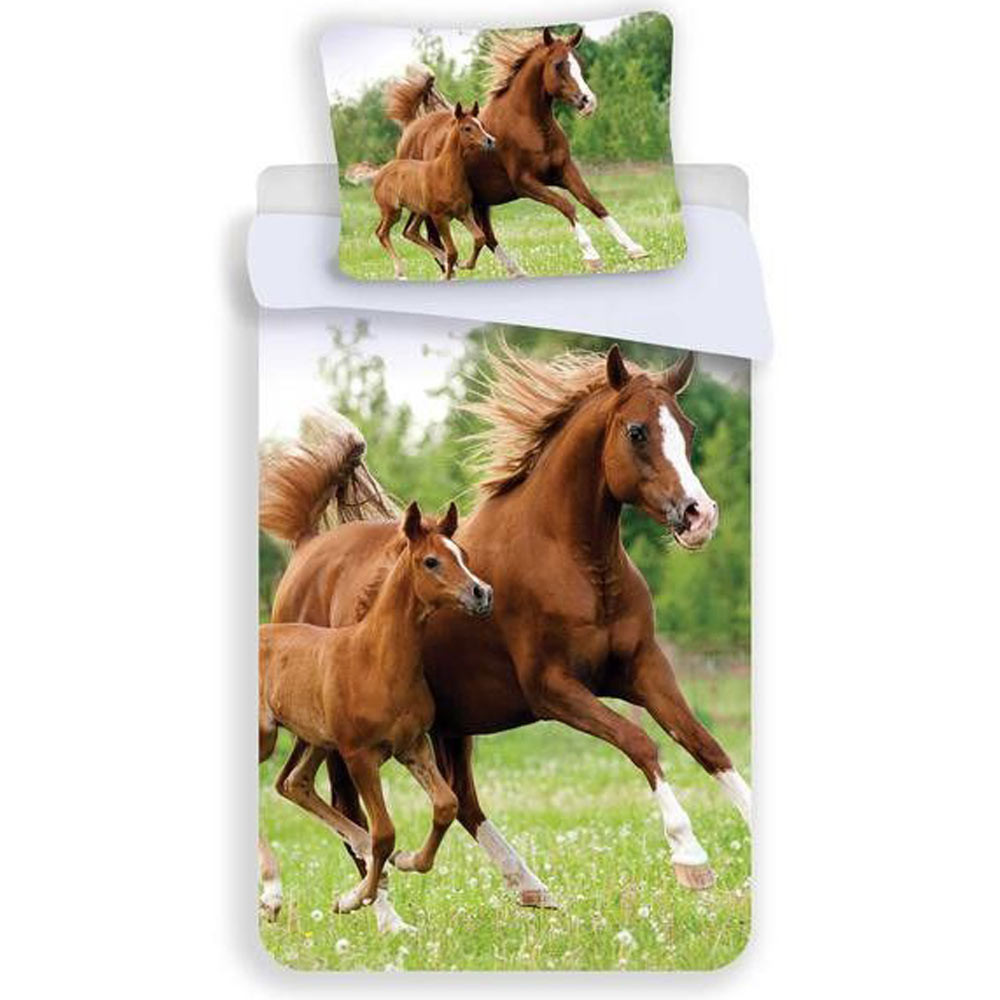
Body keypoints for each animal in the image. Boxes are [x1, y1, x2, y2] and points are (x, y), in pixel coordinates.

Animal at [258, 500, 493, 927]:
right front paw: (355, 898)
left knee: (294, 783)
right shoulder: (359, 755)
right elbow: (385, 831)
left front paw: (406, 861)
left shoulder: (413, 746)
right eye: (431, 561)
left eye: (463, 556)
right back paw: (272, 893)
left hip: (316, 739)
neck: (375, 659)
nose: (482, 593)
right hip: (267, 738)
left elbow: (446, 805)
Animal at [372, 102, 495, 280]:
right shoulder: (439, 217)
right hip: (393, 211)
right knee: (382, 233)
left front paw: (465, 264)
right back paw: (399, 270)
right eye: (467, 128)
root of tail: (380, 172)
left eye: (482, 125)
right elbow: (453, 251)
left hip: (420, 212)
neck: (445, 173)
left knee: (411, 231)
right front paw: (447, 276)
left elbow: (479, 238)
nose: (490, 141)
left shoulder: (463, 213)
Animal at [384, 27, 650, 275]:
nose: (588, 101)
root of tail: (410, 129)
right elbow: (567, 206)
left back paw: (516, 271)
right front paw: (592, 256)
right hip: (432, 205)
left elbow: (593, 203)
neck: (529, 125)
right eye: (558, 65)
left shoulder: (564, 170)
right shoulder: (525, 183)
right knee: (429, 237)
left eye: (579, 63)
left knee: (486, 236)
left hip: (479, 201)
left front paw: (634, 248)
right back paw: (454, 270)